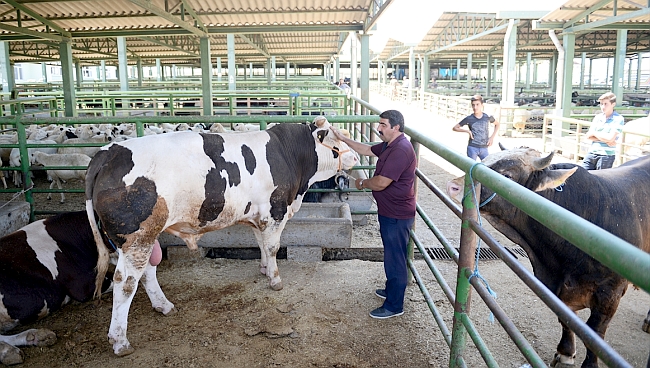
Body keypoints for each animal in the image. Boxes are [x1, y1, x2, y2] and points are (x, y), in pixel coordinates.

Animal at [83, 119, 356, 356]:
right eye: (335, 139)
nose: (355, 156)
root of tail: (107, 153)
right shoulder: (275, 210)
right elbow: (272, 246)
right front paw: (275, 279)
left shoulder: (257, 215)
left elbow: (260, 243)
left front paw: (264, 270)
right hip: (136, 237)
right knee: (126, 282)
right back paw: (120, 341)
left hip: (139, 238)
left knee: (146, 272)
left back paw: (164, 306)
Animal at [446, 149, 648, 368]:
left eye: (507, 175)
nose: (454, 186)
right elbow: (566, 320)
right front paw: (565, 353)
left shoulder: (610, 293)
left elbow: (595, 334)